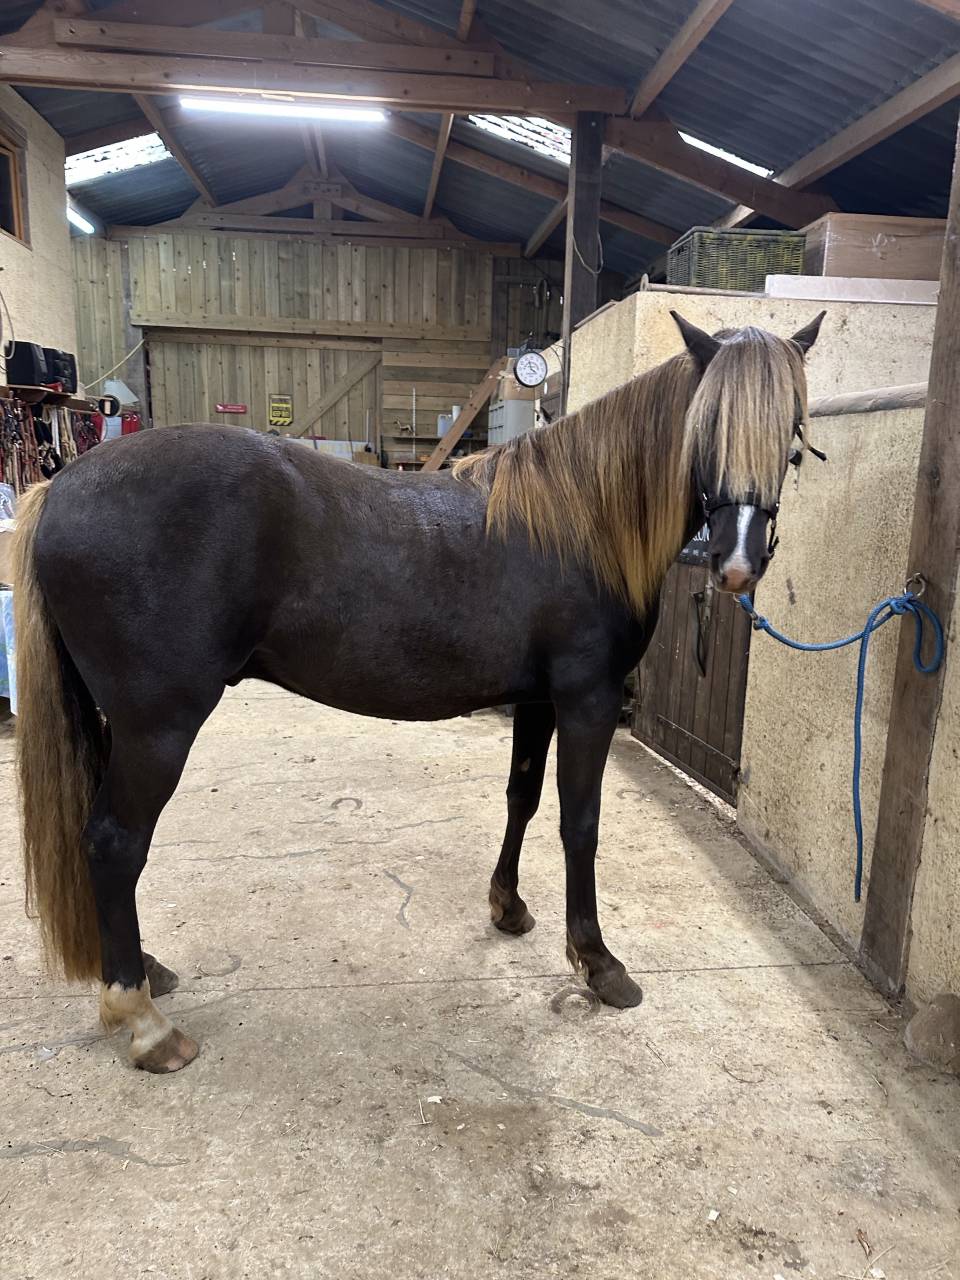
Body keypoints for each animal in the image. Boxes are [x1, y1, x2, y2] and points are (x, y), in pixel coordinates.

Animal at [11, 309, 824, 1073]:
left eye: (790, 441)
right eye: (706, 432)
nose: (738, 567)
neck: (579, 521)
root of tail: (61, 485)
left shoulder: (537, 701)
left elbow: (522, 798)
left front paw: (508, 907)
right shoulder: (586, 700)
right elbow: (580, 823)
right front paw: (598, 963)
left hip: (120, 724)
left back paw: (144, 972)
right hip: (158, 726)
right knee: (116, 841)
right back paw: (145, 1023)